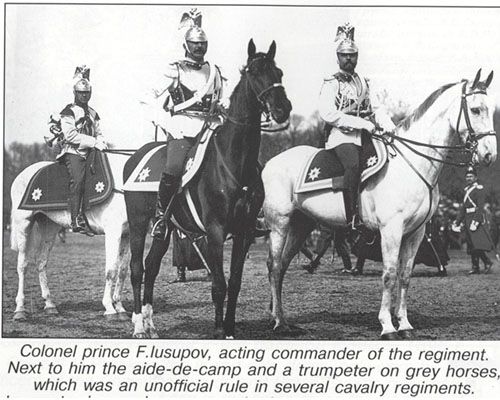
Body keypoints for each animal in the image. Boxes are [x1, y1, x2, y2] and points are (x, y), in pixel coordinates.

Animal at [10, 152, 131, 320]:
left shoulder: (127, 234)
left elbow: (123, 271)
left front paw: (120, 307)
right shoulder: (113, 233)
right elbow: (111, 271)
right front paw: (110, 308)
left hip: (49, 227)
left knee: (41, 261)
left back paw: (50, 305)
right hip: (23, 225)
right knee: (22, 265)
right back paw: (20, 309)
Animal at [122, 39, 292, 338]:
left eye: (279, 72)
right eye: (254, 72)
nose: (283, 108)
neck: (234, 163)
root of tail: (135, 156)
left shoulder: (244, 232)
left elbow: (234, 283)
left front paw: (230, 328)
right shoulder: (215, 232)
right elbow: (219, 285)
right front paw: (218, 330)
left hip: (166, 230)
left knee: (151, 267)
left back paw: (151, 324)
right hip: (139, 222)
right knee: (136, 269)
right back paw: (139, 326)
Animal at [262, 70, 496, 340]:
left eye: (491, 109)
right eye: (476, 109)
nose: (489, 155)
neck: (411, 163)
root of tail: (270, 162)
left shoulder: (416, 233)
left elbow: (405, 275)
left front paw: (404, 323)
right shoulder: (391, 230)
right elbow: (389, 274)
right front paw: (387, 325)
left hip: (301, 226)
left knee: (282, 266)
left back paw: (278, 314)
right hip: (279, 224)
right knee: (274, 265)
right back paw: (279, 321)